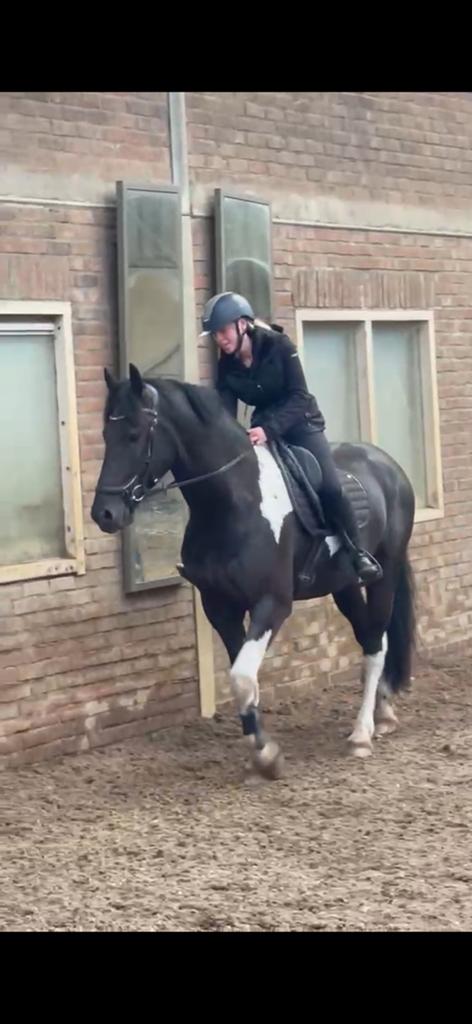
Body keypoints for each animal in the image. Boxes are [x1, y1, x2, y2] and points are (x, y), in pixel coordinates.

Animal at [91, 363, 416, 779]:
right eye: (106, 434)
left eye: (133, 434)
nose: (104, 514)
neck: (232, 500)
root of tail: (387, 464)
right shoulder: (220, 607)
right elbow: (240, 677)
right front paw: (261, 748)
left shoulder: (272, 604)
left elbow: (242, 677)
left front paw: (267, 756)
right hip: (343, 584)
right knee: (370, 637)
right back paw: (383, 712)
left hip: (384, 572)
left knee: (377, 643)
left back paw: (361, 734)